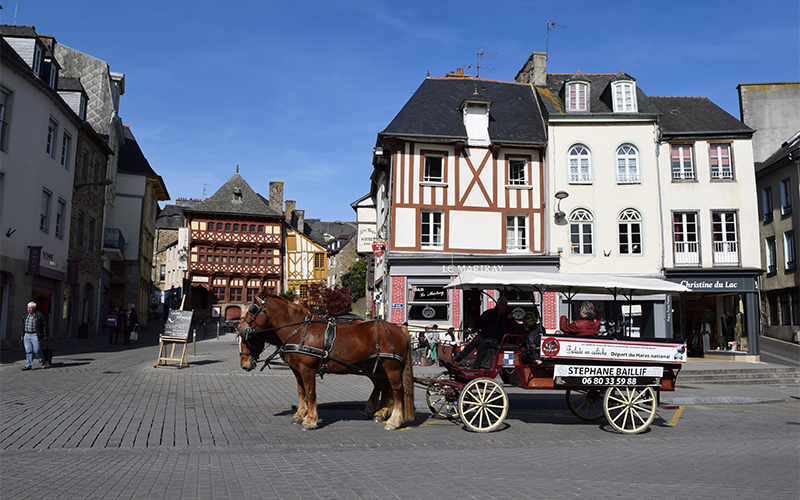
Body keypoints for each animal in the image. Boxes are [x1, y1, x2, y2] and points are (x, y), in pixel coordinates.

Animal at [236, 288, 412, 432]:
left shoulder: (307, 370)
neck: (301, 331)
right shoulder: (297, 370)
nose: (240, 329)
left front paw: (310, 421)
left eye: (252, 309)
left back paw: (394, 420)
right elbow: (301, 392)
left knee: (397, 389)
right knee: (384, 386)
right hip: (375, 367)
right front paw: (299, 415)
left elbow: (310, 393)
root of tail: (400, 328)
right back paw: (379, 413)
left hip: (391, 367)